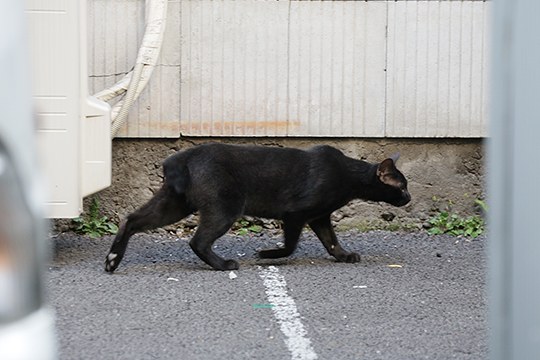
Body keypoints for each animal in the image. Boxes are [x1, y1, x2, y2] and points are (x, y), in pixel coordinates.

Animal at [104, 142, 410, 272]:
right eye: (402, 186)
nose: (408, 198)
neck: (348, 176)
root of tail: (178, 159)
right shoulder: (296, 213)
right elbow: (291, 245)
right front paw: (266, 254)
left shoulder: (320, 217)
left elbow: (331, 241)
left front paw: (345, 256)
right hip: (224, 208)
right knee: (198, 241)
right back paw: (223, 265)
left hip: (175, 204)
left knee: (131, 219)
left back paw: (112, 260)